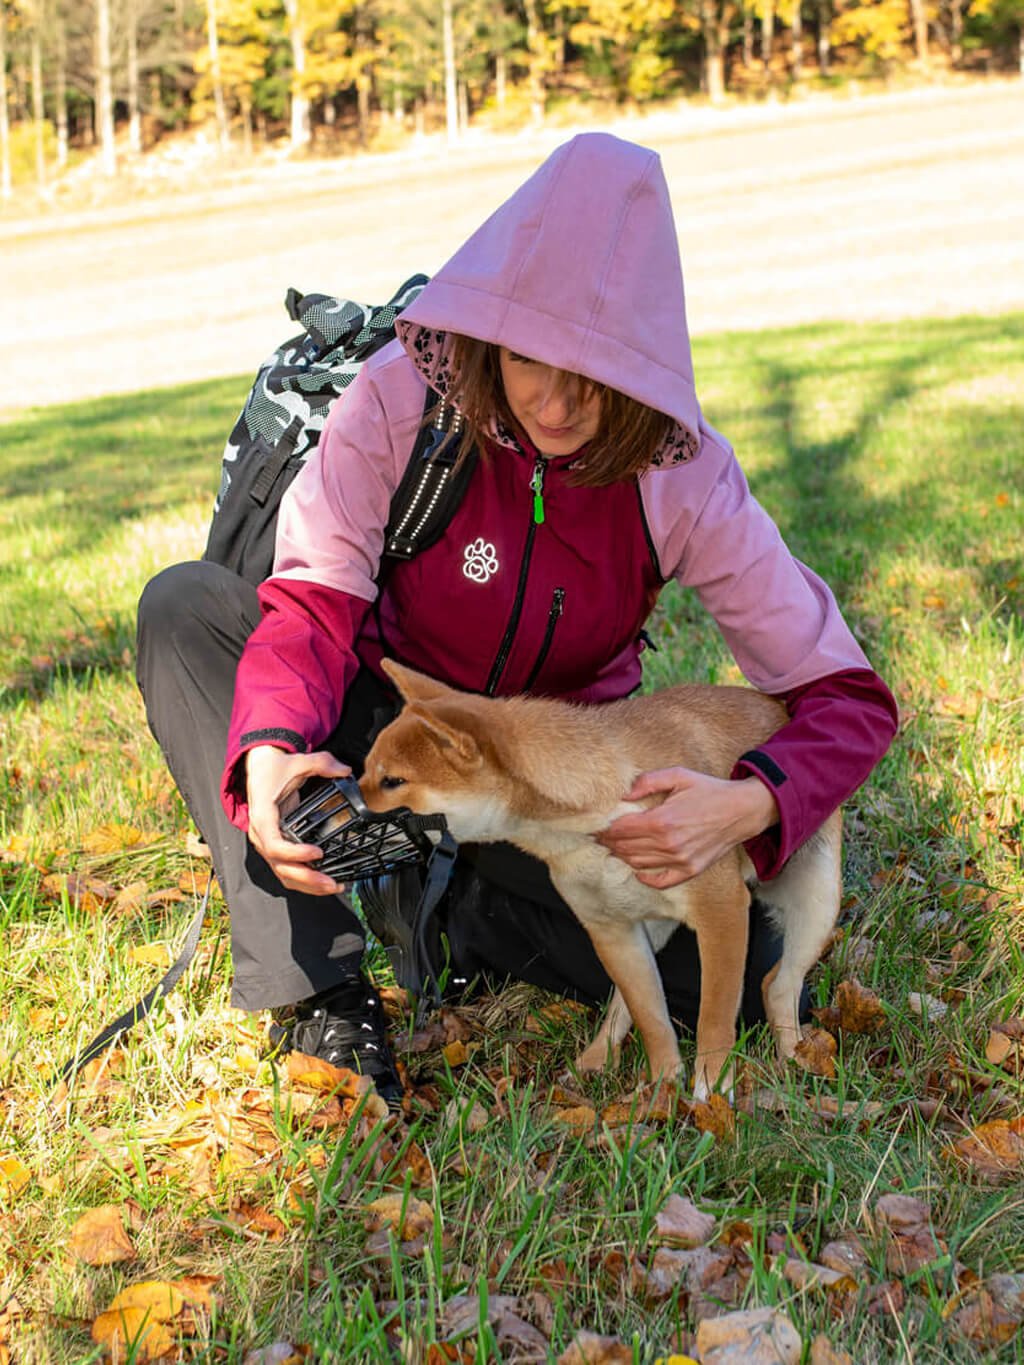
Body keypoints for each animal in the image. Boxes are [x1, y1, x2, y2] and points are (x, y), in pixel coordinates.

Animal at [360, 660, 841, 1097]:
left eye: (393, 781)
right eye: (364, 771)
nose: (345, 811)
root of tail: (779, 708)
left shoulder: (720, 911)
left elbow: (714, 1017)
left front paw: (710, 1089)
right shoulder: (610, 930)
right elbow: (651, 1019)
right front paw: (662, 1092)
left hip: (818, 903)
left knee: (777, 986)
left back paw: (797, 1057)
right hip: (652, 929)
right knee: (629, 1005)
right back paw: (595, 1060)